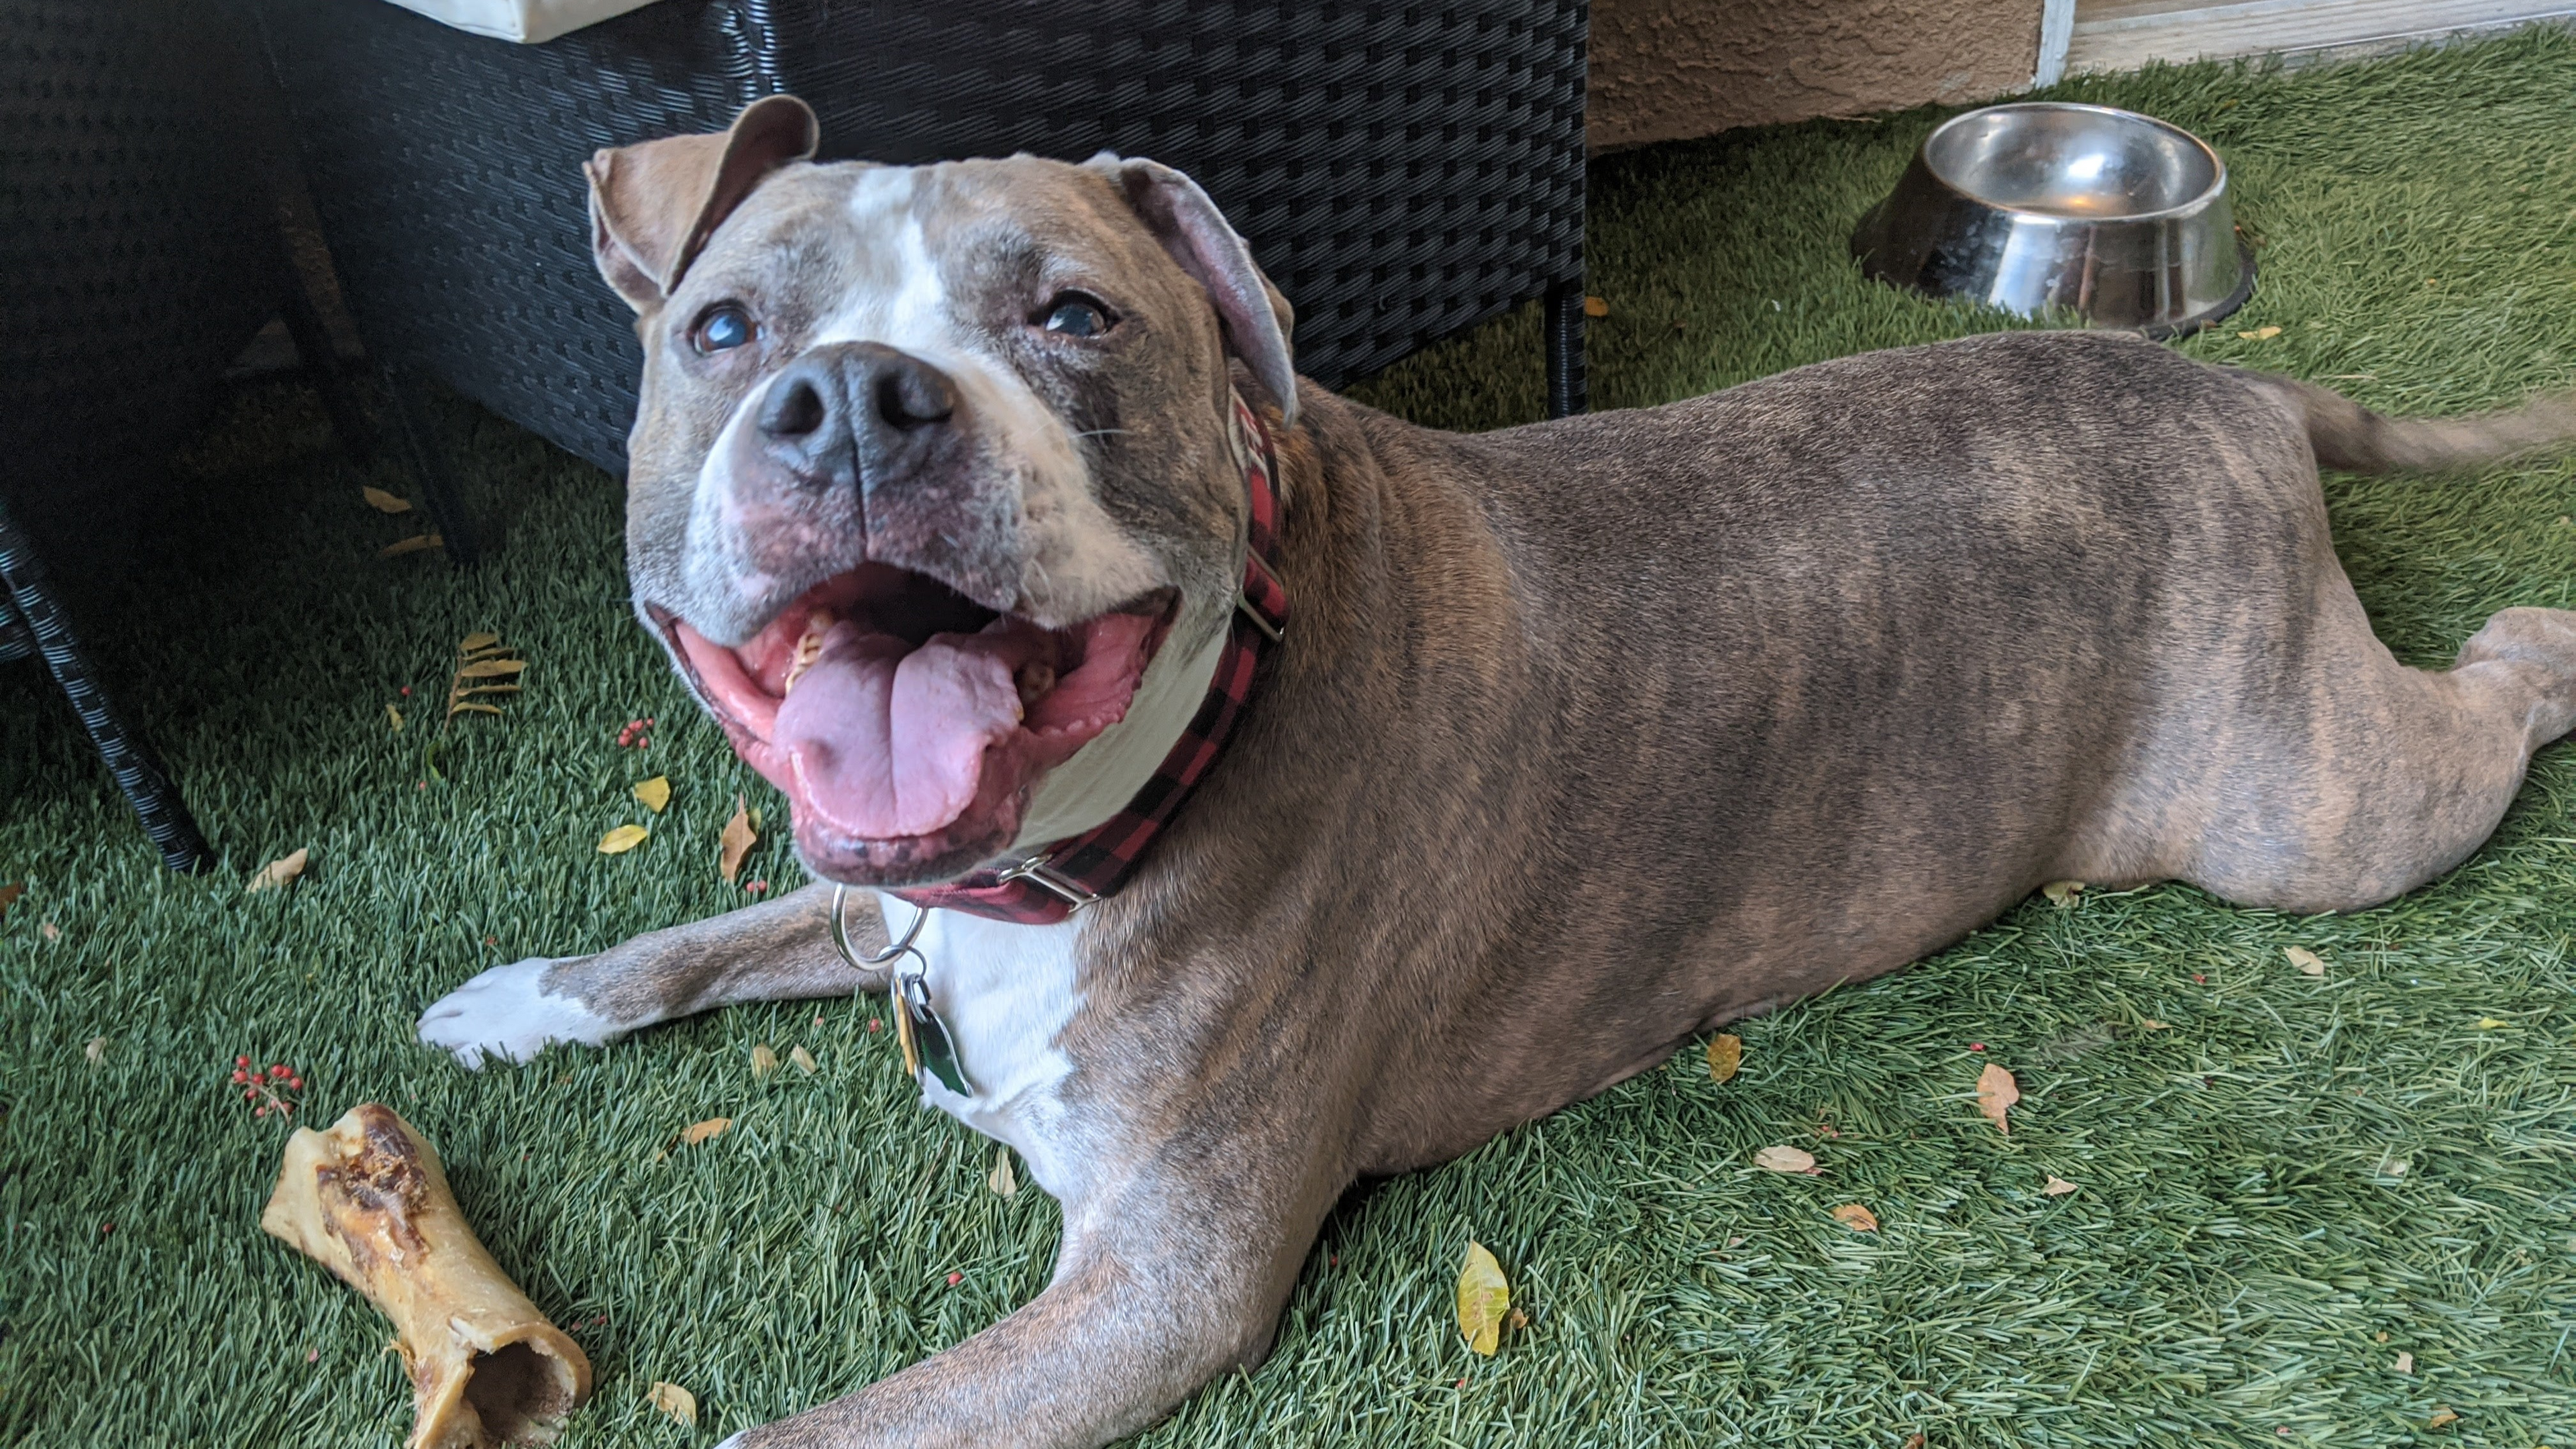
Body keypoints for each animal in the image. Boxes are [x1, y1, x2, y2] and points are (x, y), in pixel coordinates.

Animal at [412, 96, 2576, 1433]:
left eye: (1073, 317)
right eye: (719, 328)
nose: (855, 400)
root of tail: (2236, 395)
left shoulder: (1156, 1287)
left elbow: (820, 1430)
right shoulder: (889, 895)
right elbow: (712, 931)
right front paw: (519, 996)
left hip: (2300, 808)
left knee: (2467, 716)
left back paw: (2538, 642)